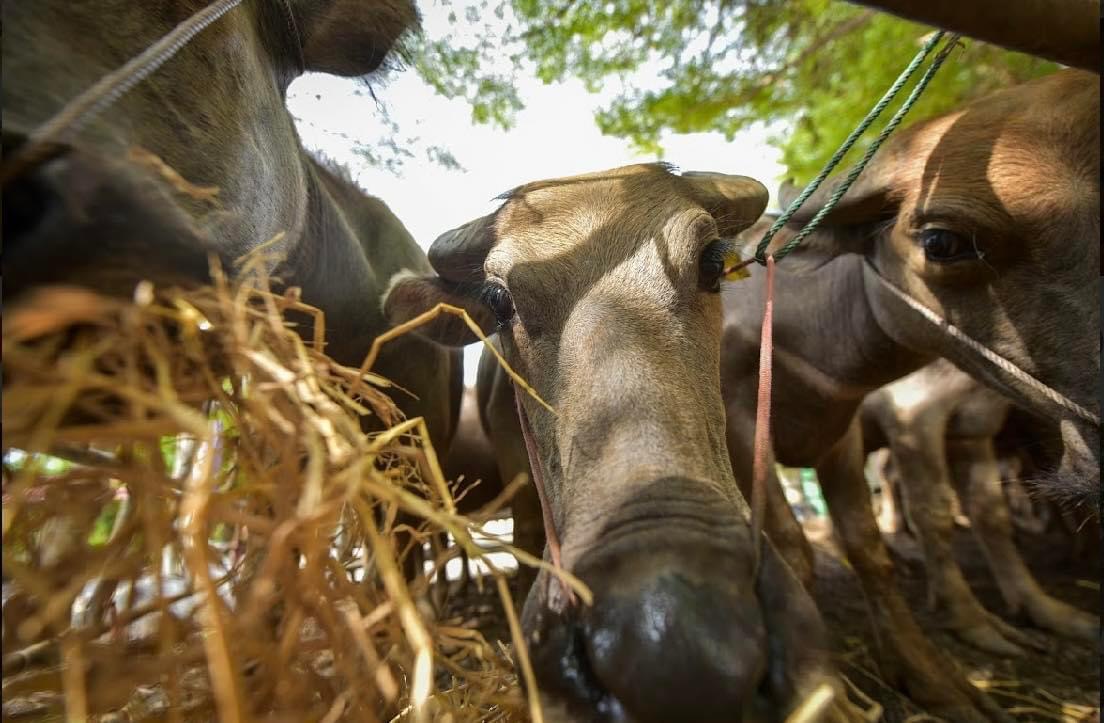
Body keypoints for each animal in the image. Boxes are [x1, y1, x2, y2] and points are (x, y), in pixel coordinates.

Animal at [861, 359, 1095, 657]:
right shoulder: (909, 411)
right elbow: (932, 513)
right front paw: (969, 621)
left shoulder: (973, 428)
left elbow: (990, 513)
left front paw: (1049, 613)